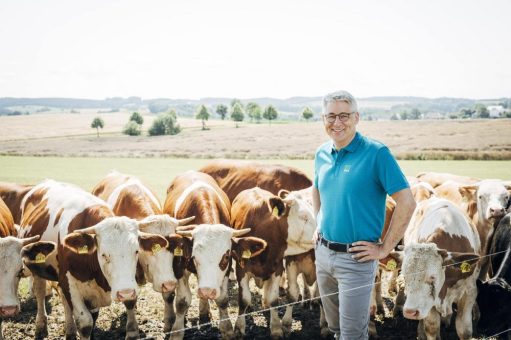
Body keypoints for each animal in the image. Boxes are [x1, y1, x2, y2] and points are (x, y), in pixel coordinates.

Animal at [18, 179, 170, 338]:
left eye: (136, 251)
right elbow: (85, 323)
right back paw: (41, 326)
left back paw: (69, 330)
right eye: (103, 254)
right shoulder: (69, 283)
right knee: (40, 292)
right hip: (37, 269)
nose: (125, 293)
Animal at [91, 170, 195, 332]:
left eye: (173, 247)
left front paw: (169, 321)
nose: (169, 283)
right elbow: (129, 299)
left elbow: (168, 296)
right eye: (151, 248)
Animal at [164, 171, 268, 338]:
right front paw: (176, 332)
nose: (207, 291)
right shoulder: (180, 266)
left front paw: (227, 329)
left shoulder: (225, 271)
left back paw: (204, 311)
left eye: (226, 257)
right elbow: (182, 301)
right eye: (194, 257)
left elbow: (223, 299)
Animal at [231, 187, 318, 338]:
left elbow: (274, 299)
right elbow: (244, 300)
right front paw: (239, 328)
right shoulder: (241, 269)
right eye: (304, 217)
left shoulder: (277, 268)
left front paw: (276, 328)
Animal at [398, 197, 482, 340]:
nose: (410, 312)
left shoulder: (469, 292)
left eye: (432, 277)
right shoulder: (430, 303)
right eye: (405, 276)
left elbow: (464, 330)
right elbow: (431, 328)